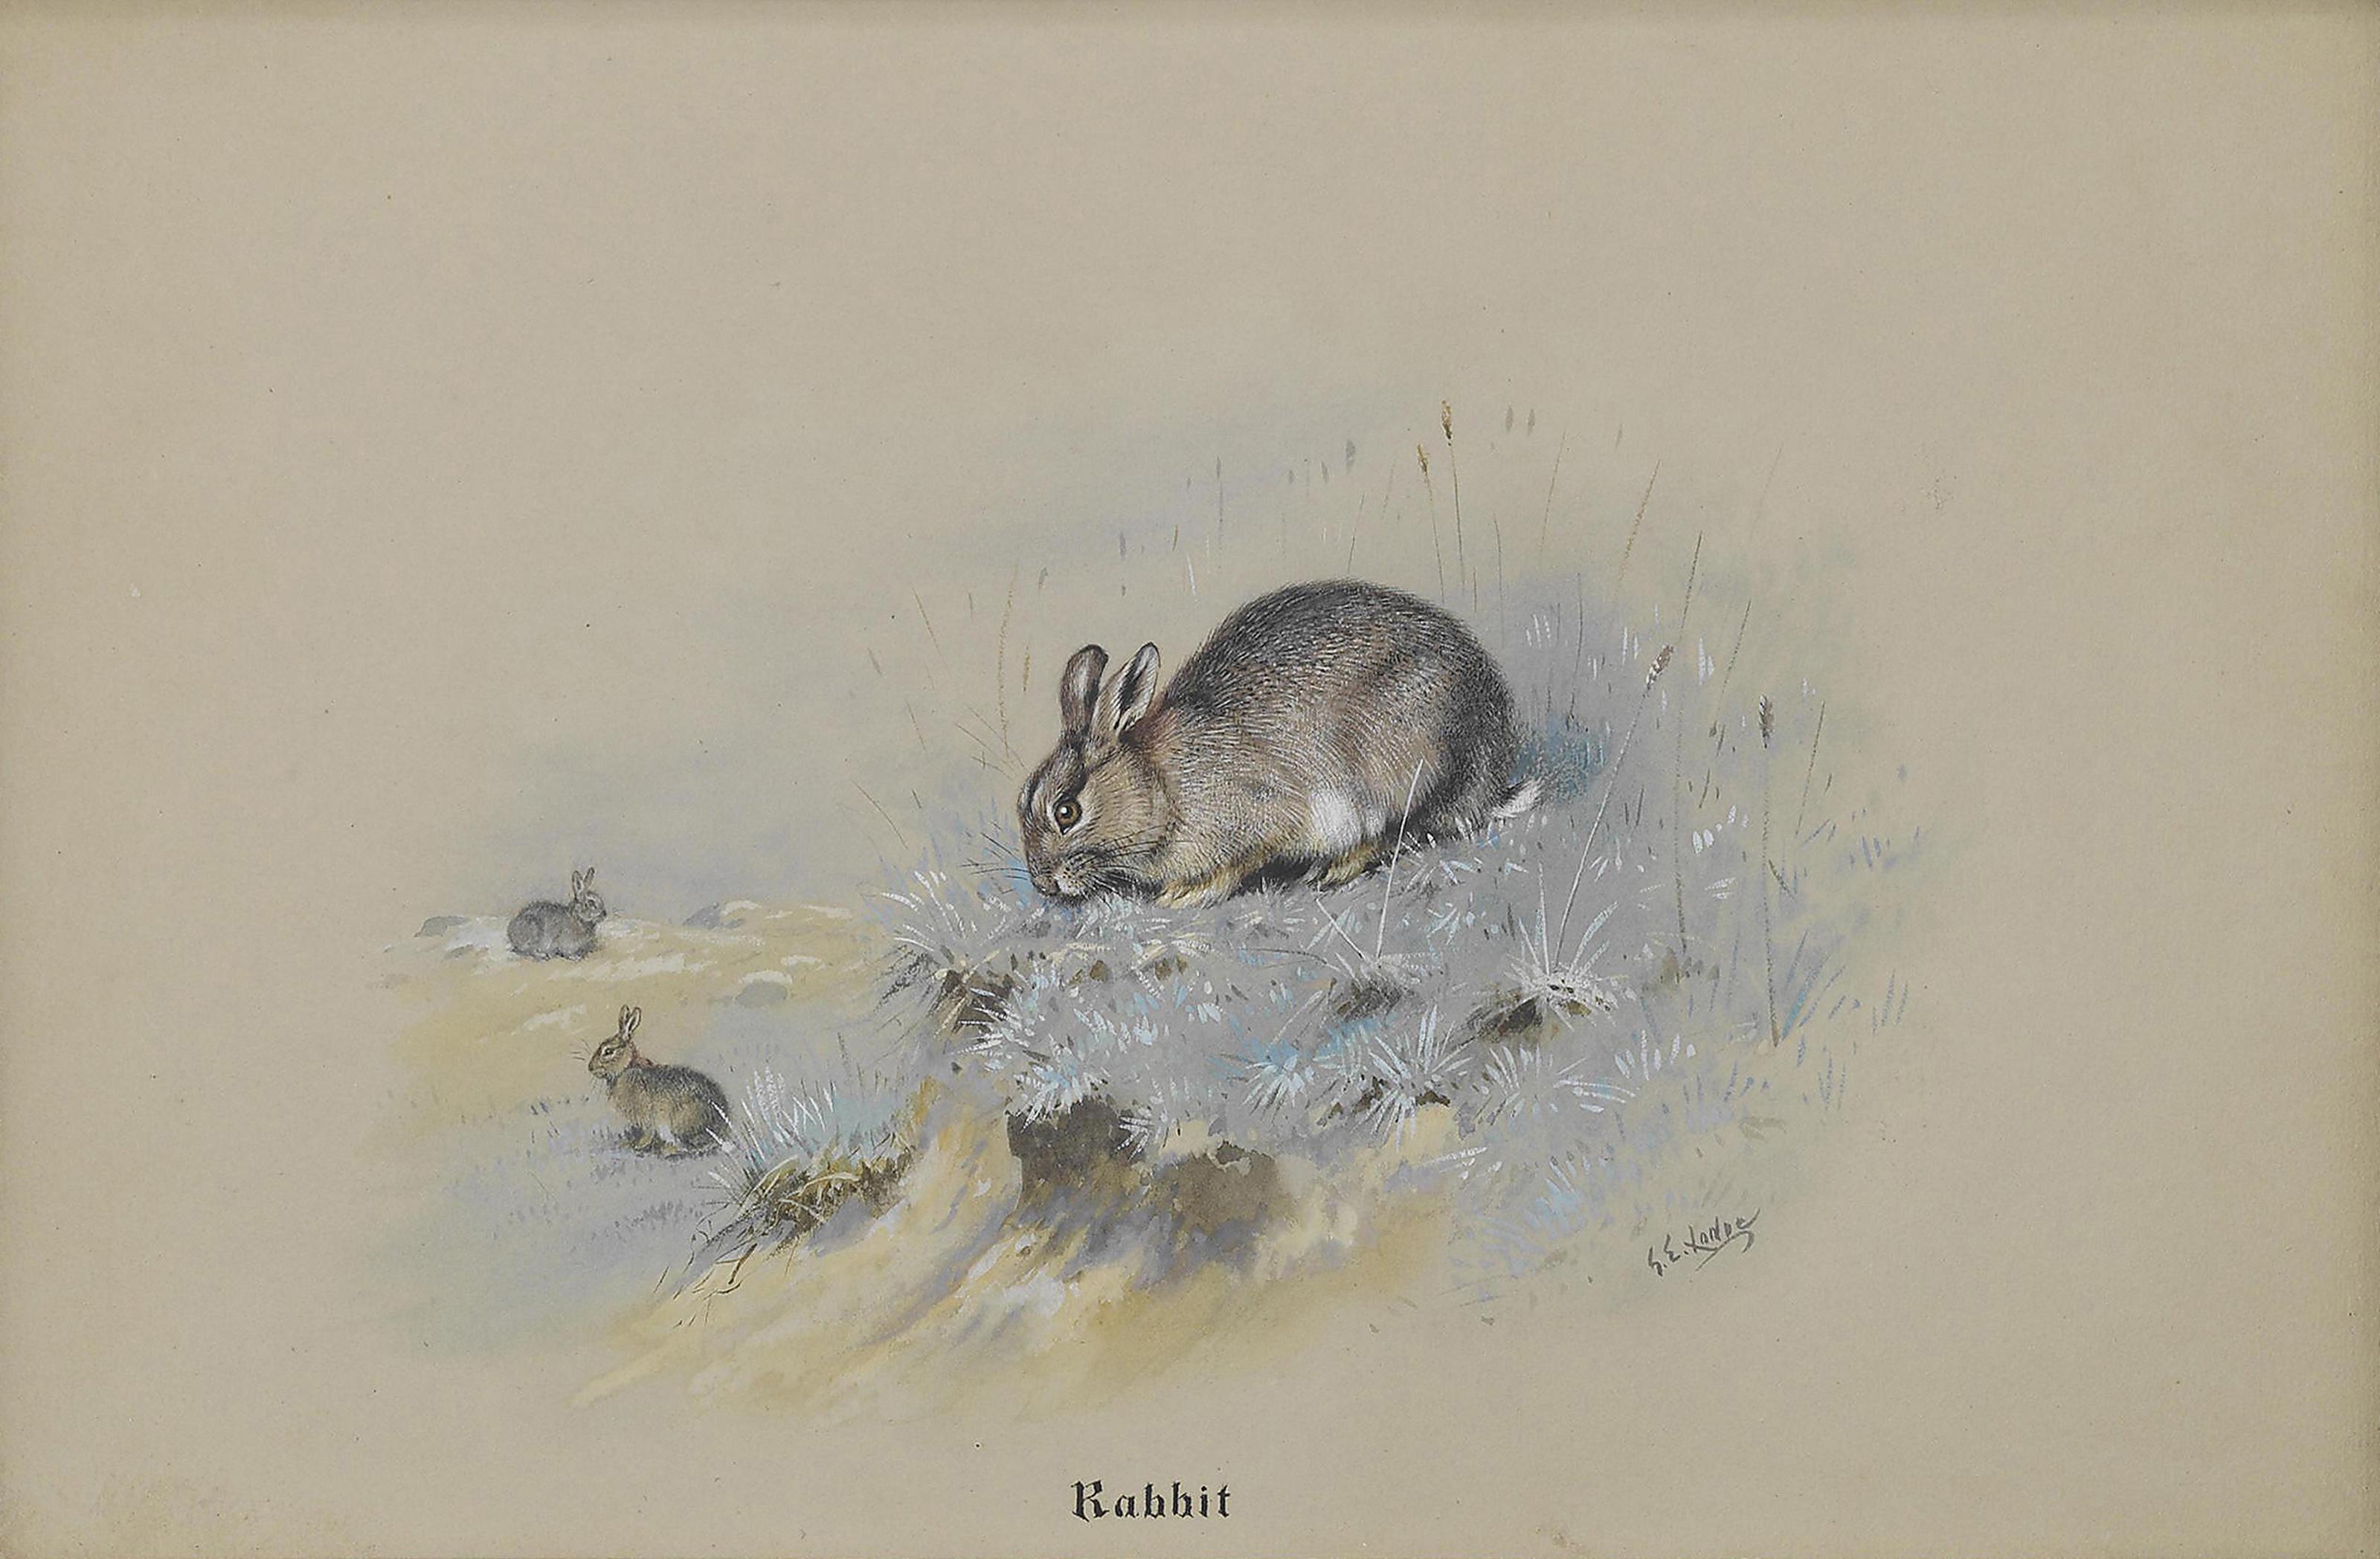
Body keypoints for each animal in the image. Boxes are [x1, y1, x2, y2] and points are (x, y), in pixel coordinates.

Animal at [507, 867, 607, 959]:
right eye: (591, 903)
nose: (605, 915)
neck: (578, 918)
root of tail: (511, 933)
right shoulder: (566, 943)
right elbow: (567, 952)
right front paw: (575, 957)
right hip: (534, 932)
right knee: (527, 950)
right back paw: (543, 955)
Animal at [586, 1006, 732, 1156]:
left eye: (608, 1051)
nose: (590, 1067)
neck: (626, 1067)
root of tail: (724, 1131)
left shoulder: (646, 1116)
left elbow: (648, 1133)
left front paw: (639, 1145)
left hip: (681, 1122)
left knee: (691, 1146)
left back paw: (667, 1150)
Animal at [1018, 579, 1540, 908]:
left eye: (1066, 811)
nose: (1042, 884)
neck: (1160, 788)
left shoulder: (1261, 815)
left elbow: (1240, 860)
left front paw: (1185, 895)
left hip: (1391, 765)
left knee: (1392, 831)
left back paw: (1334, 869)